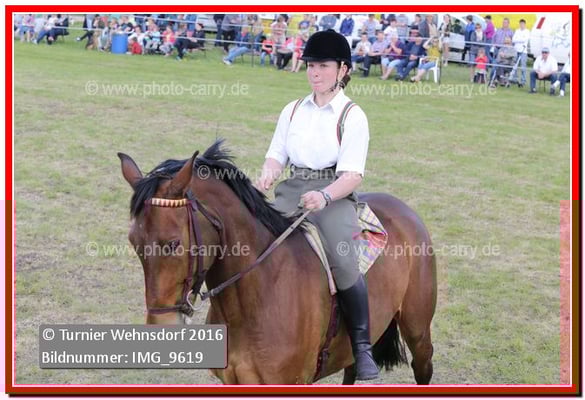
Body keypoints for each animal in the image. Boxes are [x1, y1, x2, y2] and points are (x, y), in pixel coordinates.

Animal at [118, 139, 437, 385]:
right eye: (134, 243)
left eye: (173, 243)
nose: (160, 326)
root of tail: (404, 209)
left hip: (418, 331)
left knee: (423, 366)